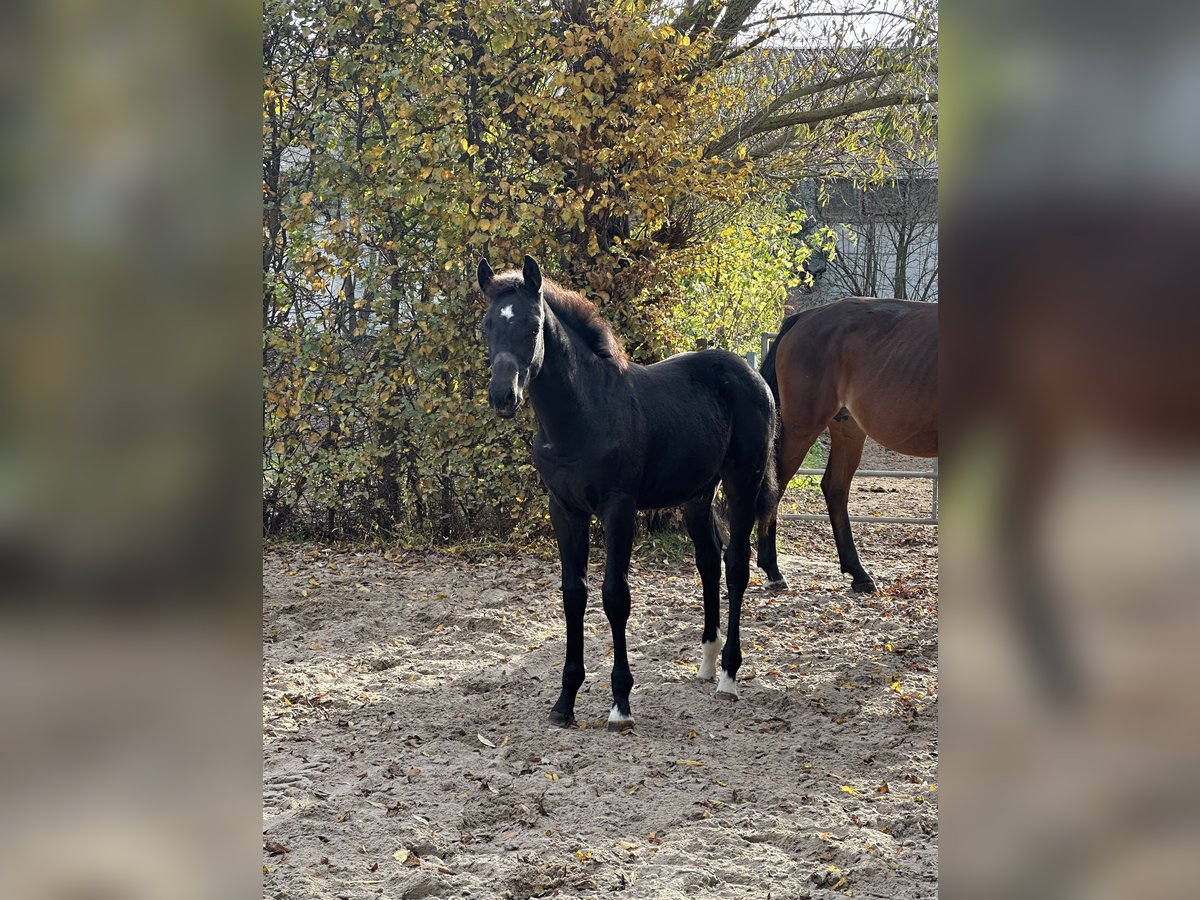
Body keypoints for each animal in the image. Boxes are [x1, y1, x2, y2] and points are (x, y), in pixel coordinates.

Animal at [477, 254, 777, 730]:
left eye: (532, 326)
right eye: (488, 325)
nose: (503, 396)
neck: (584, 414)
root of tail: (752, 374)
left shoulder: (618, 509)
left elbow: (615, 597)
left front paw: (621, 703)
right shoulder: (565, 510)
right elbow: (573, 595)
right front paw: (564, 702)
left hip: (741, 483)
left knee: (736, 565)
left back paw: (729, 675)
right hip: (698, 494)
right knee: (708, 560)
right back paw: (707, 662)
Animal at [756, 298, 938, 593]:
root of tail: (804, 318)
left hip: (847, 428)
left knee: (835, 488)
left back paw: (859, 574)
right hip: (801, 427)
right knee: (775, 485)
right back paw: (773, 570)